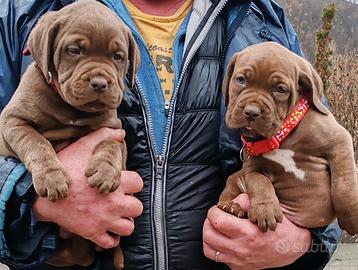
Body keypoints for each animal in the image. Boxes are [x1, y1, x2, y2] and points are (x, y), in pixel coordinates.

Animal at [0, 0, 140, 266]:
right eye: (74, 50)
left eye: (118, 57)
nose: (100, 83)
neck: (71, 110)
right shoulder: (13, 121)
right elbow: (36, 142)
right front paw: (52, 178)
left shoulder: (113, 129)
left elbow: (110, 145)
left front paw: (105, 171)